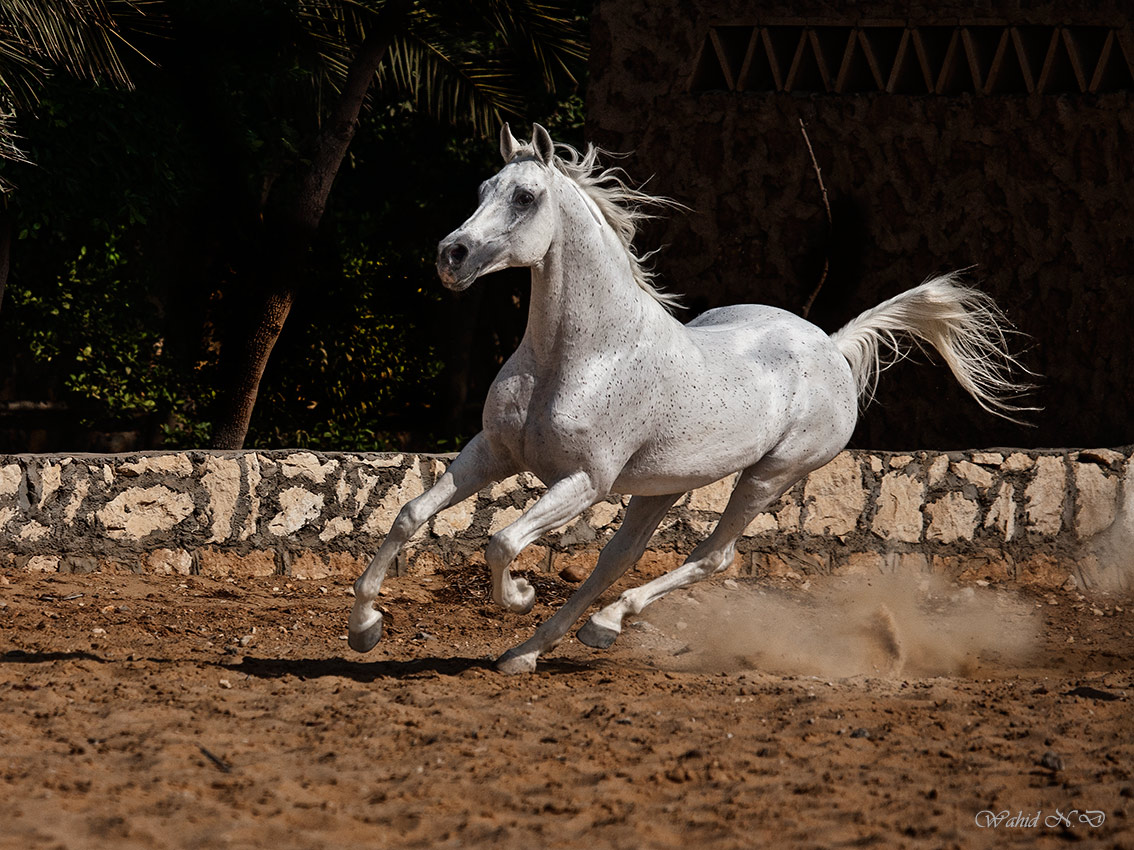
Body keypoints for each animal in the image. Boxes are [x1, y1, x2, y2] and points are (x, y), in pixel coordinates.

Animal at [349, 122, 1034, 675]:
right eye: (484, 187)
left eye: (525, 196)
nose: (451, 256)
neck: (582, 354)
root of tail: (833, 346)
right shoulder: (493, 452)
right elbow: (409, 513)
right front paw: (364, 630)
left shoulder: (585, 481)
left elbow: (503, 542)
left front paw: (517, 596)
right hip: (663, 486)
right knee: (618, 559)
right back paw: (533, 651)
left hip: (769, 477)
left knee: (713, 557)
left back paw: (597, 627)